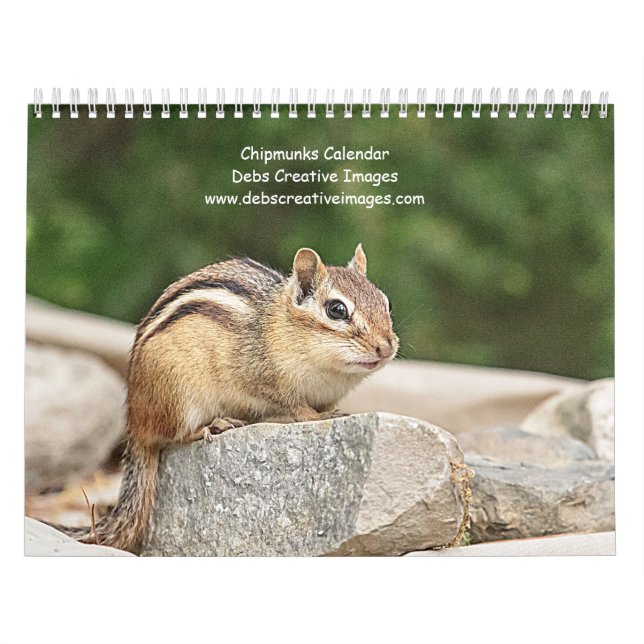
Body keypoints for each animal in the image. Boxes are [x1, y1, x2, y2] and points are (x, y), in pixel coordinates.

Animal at [48, 244, 398, 553]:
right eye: (336, 310)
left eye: (386, 303)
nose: (386, 347)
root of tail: (135, 423)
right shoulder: (264, 378)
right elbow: (297, 408)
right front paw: (320, 417)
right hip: (178, 397)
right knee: (173, 436)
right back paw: (213, 425)